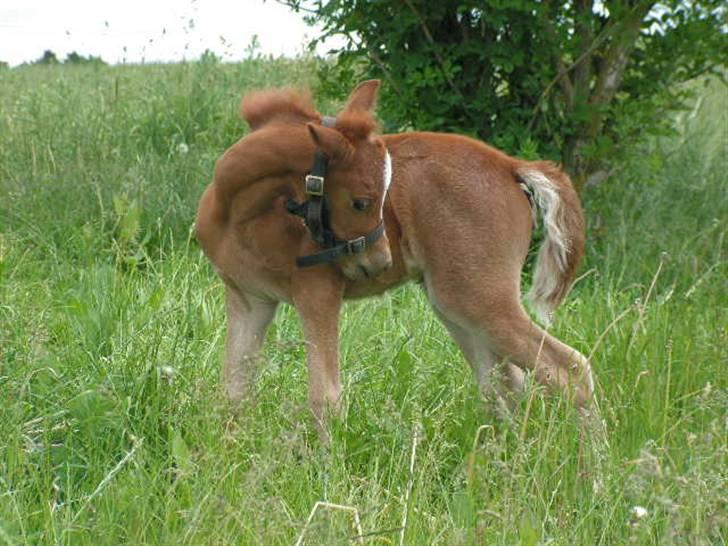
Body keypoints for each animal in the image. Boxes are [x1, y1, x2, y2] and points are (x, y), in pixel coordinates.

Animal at [196, 78, 596, 434]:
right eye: (362, 201)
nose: (379, 262)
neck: (236, 211)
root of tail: (509, 165)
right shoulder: (250, 298)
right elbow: (232, 394)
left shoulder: (318, 294)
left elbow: (325, 397)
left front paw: (327, 467)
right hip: (454, 304)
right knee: (503, 383)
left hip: (481, 299)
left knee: (570, 371)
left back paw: (593, 468)